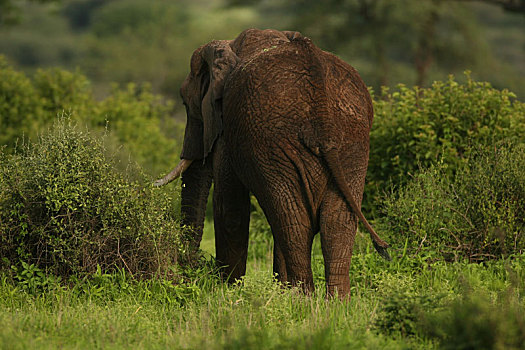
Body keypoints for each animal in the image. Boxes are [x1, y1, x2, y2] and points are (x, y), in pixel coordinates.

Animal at [154, 28, 386, 298]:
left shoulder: (228, 130)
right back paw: (334, 302)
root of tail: (323, 115)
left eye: (184, 102)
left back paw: (303, 300)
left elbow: (230, 206)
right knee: (333, 221)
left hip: (278, 144)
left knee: (293, 221)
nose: (191, 269)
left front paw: (227, 291)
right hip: (351, 143)